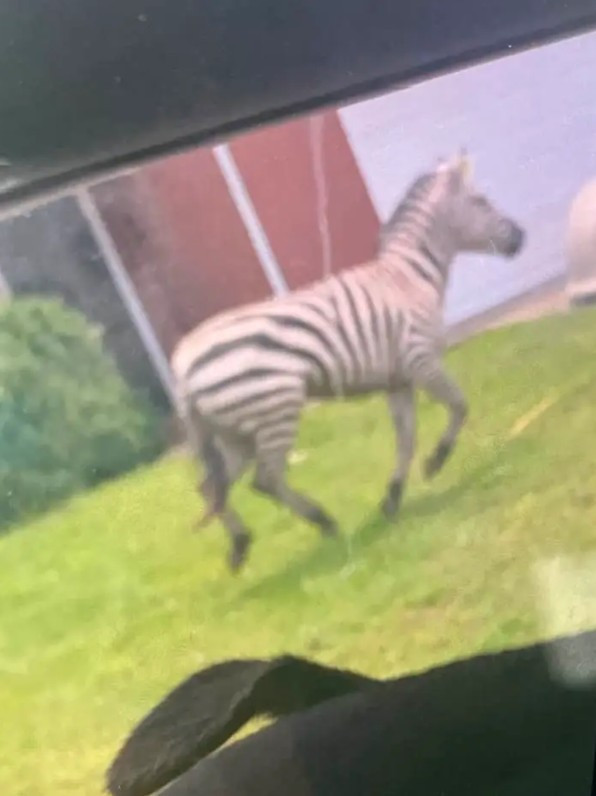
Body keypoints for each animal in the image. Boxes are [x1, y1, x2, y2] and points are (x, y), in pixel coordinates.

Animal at [171, 152, 525, 571]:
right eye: (481, 201)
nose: (521, 238)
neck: (408, 276)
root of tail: (183, 366)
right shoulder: (421, 360)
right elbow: (459, 407)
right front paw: (435, 462)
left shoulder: (398, 380)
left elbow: (406, 439)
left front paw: (392, 498)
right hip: (274, 409)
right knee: (266, 478)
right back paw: (323, 521)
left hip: (234, 432)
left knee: (211, 486)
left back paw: (242, 545)